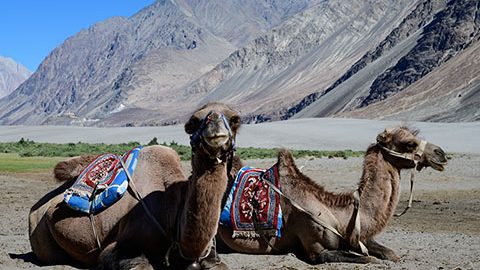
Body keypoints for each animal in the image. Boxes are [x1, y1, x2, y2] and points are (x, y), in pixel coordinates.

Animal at [27, 102, 240, 268]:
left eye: (235, 119)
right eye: (194, 121)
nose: (216, 130)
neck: (172, 209)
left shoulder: (208, 255)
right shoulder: (120, 248)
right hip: (41, 238)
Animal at [216, 126, 448, 264]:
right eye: (409, 143)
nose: (441, 153)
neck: (339, 214)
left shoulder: (356, 237)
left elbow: (392, 254)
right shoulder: (315, 248)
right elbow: (366, 259)